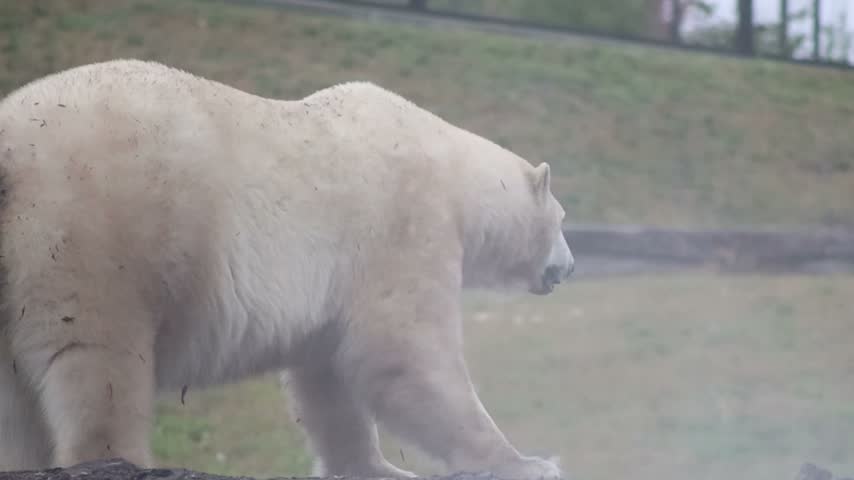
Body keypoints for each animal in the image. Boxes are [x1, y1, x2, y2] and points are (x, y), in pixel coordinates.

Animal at [0, 59, 574, 479]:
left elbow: (328, 384)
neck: (449, 166)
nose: (569, 267)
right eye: (563, 217)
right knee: (97, 363)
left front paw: (379, 469)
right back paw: (116, 459)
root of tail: (11, 150)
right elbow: (406, 354)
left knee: (19, 402)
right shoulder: (404, 223)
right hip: (92, 235)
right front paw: (527, 462)